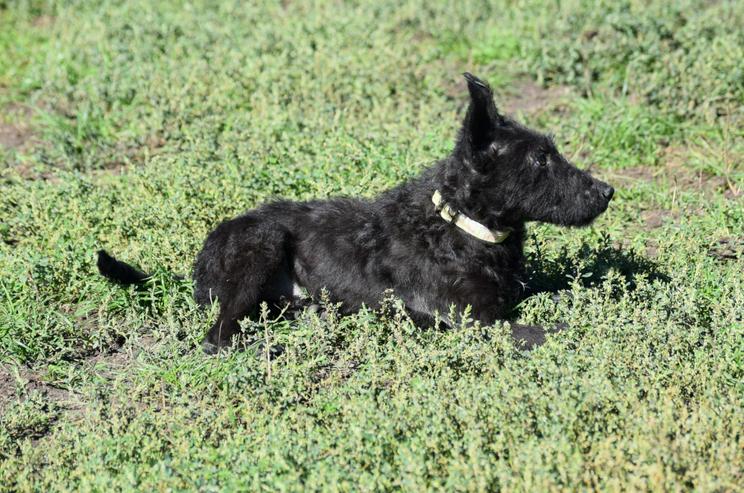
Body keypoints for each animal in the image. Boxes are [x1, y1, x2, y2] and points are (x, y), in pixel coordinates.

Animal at [96, 72, 612, 350]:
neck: (459, 226)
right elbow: (540, 331)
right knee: (218, 335)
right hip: (260, 244)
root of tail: (199, 264)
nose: (607, 191)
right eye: (541, 159)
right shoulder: (468, 320)